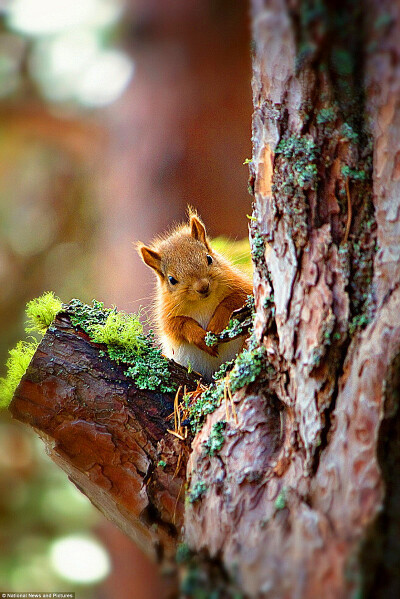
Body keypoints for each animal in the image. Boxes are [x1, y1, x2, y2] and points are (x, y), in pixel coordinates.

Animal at [137, 211, 250, 380]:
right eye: (172, 280)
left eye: (209, 258)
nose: (202, 287)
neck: (203, 302)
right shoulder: (166, 313)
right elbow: (178, 325)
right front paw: (200, 338)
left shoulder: (241, 287)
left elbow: (232, 301)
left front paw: (217, 324)